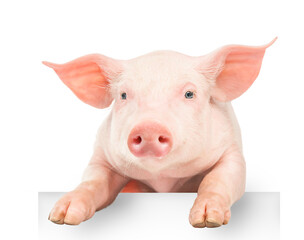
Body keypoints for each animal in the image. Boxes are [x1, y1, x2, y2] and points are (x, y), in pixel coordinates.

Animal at [44, 38, 276, 228]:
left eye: (189, 94)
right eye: (123, 95)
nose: (149, 127)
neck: (163, 178)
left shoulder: (231, 150)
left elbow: (219, 178)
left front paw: (207, 221)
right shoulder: (103, 155)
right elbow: (92, 181)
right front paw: (60, 217)